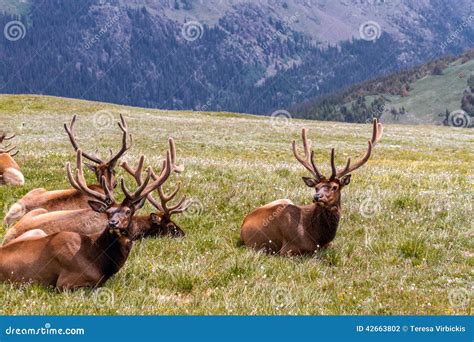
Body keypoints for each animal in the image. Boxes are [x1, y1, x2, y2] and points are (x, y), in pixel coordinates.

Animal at [243, 119, 384, 255]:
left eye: (334, 187)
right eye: (316, 187)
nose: (317, 197)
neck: (319, 237)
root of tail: (244, 220)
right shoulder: (287, 249)